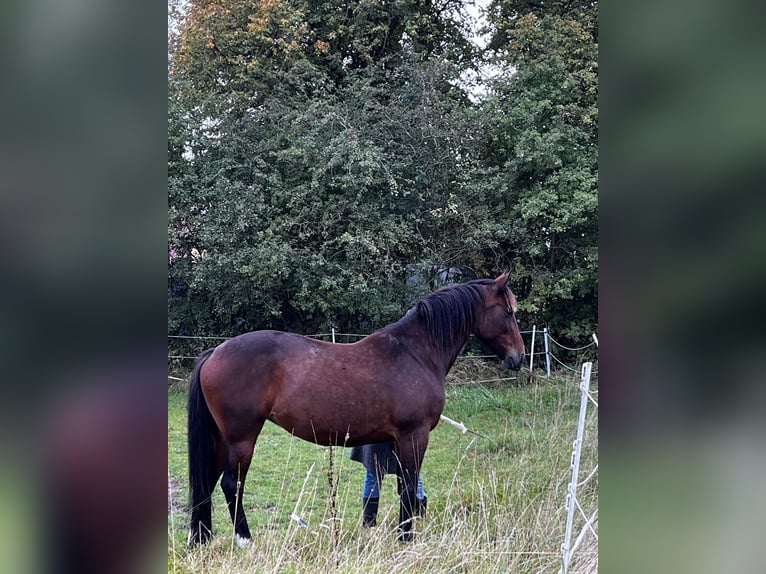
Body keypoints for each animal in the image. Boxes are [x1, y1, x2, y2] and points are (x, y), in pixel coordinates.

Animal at [188, 274, 524, 548]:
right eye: (508, 312)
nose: (518, 357)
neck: (416, 352)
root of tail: (215, 352)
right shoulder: (413, 436)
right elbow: (408, 487)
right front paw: (405, 538)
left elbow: (403, 486)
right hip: (242, 439)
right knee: (231, 485)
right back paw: (245, 540)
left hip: (222, 439)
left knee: (207, 484)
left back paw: (200, 539)